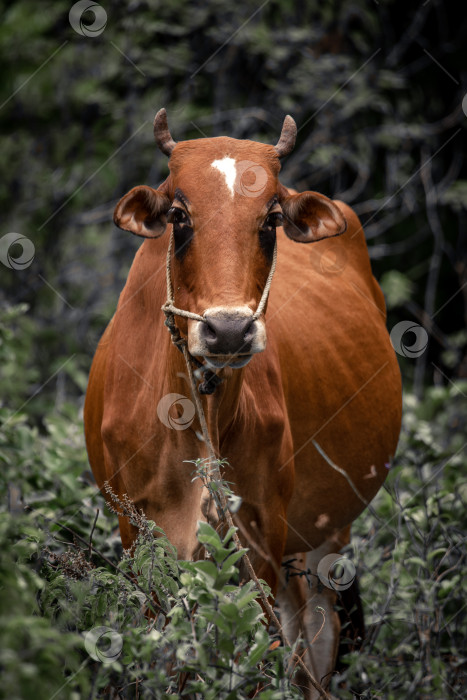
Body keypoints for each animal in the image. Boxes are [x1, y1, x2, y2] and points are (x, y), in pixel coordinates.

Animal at [84, 109, 402, 696]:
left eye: (271, 218)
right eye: (178, 214)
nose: (228, 330)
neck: (197, 418)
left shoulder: (261, 535)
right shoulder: (139, 533)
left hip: (324, 534)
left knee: (314, 638)